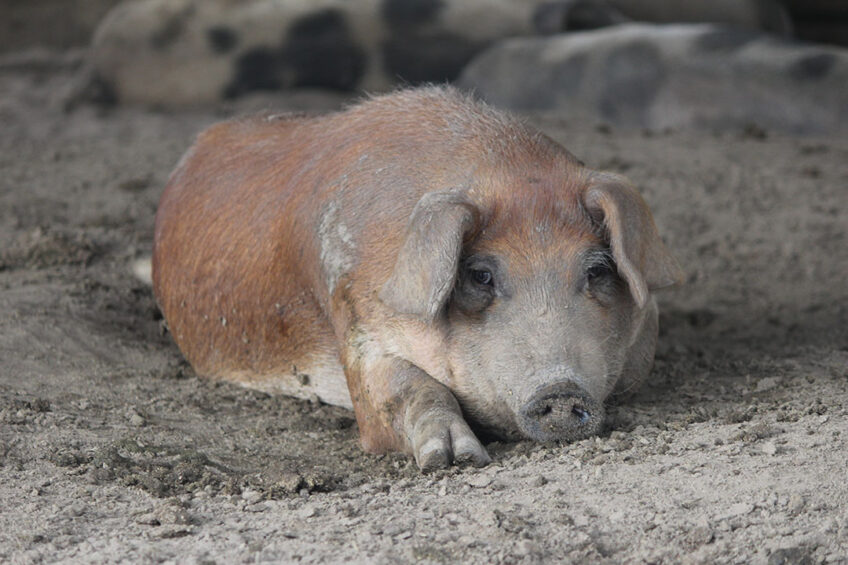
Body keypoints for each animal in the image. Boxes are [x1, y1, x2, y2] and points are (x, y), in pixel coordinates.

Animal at [152, 86, 684, 470]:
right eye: (480, 275)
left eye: (596, 269)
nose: (559, 391)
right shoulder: (355, 319)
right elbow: (402, 389)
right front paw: (451, 459)